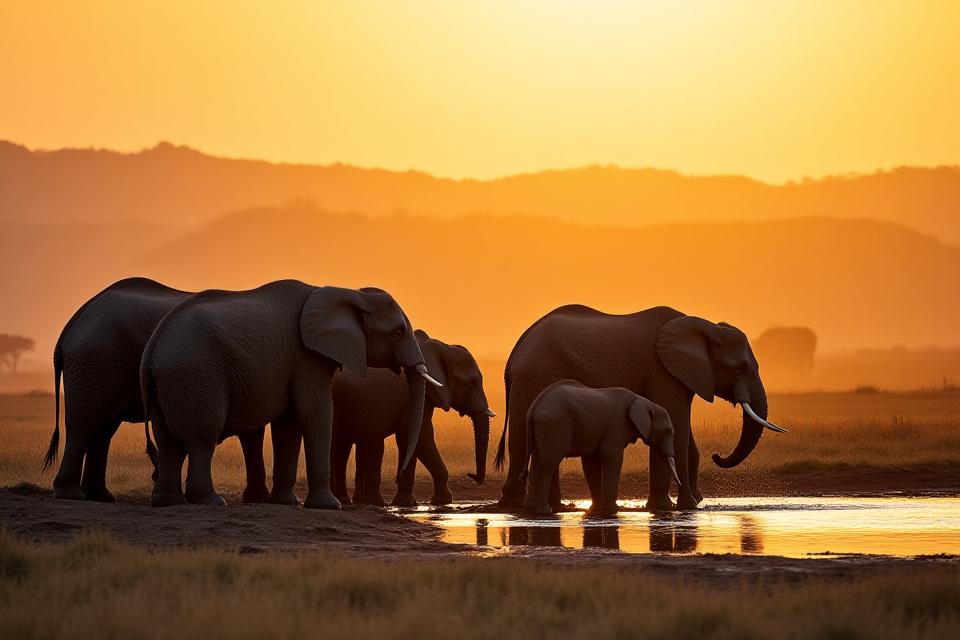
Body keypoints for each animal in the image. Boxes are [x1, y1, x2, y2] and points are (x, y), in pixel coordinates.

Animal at [42, 277, 192, 502]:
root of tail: (76, 318)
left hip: (99, 365)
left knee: (103, 428)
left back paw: (99, 496)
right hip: (95, 360)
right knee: (84, 424)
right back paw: (71, 494)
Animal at [140, 279, 440, 508]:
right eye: (398, 332)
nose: (399, 474)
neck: (348, 293)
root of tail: (152, 348)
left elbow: (290, 422)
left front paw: (286, 502)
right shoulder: (306, 356)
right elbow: (314, 412)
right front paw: (329, 506)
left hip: (171, 382)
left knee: (167, 439)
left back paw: (168, 502)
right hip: (196, 376)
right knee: (202, 437)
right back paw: (211, 502)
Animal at [330, 329, 495, 507]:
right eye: (471, 384)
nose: (471, 475)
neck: (441, 347)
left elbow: (411, 440)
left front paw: (406, 503)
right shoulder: (409, 396)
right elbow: (420, 436)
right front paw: (442, 501)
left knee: (342, 447)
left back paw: (347, 500)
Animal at [522, 380, 678, 517]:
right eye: (666, 431)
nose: (675, 505)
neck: (644, 401)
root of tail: (533, 408)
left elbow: (591, 460)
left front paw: (596, 510)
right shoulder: (618, 424)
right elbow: (611, 455)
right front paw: (613, 511)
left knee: (537, 460)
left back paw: (533, 509)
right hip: (554, 424)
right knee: (549, 463)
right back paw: (545, 512)